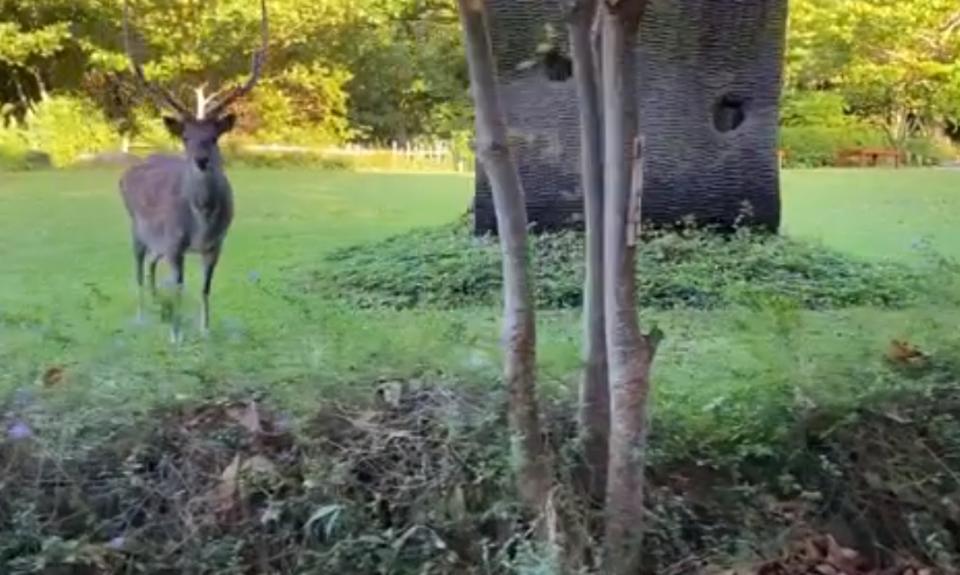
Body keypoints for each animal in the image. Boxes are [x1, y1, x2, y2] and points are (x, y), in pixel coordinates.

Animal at [122, 0, 270, 342]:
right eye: (186, 137)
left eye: (214, 136)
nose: (201, 160)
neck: (201, 220)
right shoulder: (175, 244)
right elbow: (179, 289)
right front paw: (176, 337)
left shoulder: (216, 244)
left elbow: (204, 288)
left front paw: (204, 331)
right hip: (136, 228)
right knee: (137, 271)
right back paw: (141, 317)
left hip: (157, 241)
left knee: (151, 266)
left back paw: (156, 305)